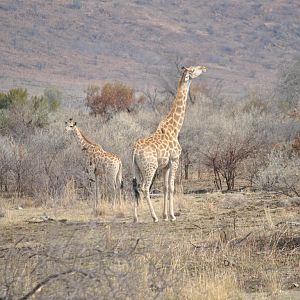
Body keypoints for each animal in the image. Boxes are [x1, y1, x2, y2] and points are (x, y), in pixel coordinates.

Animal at [132, 64, 207, 221]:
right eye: (192, 70)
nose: (204, 67)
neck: (175, 129)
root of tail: (134, 151)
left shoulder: (165, 165)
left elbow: (166, 188)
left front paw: (165, 215)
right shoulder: (174, 160)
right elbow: (172, 187)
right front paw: (172, 215)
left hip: (136, 168)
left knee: (135, 188)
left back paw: (135, 218)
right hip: (150, 167)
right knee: (144, 188)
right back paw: (154, 217)